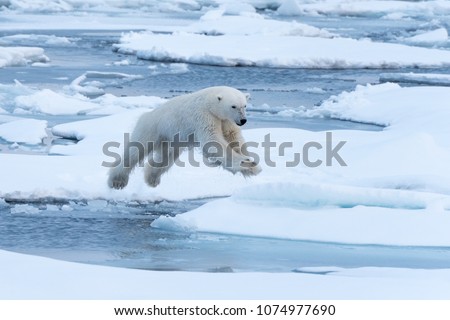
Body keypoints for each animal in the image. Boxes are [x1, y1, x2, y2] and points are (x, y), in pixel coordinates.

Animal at [108, 86, 260, 189]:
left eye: (245, 105)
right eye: (233, 106)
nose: (243, 120)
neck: (209, 103)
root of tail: (146, 115)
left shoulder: (227, 121)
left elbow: (234, 138)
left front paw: (253, 166)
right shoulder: (204, 116)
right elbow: (213, 141)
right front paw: (245, 162)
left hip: (173, 139)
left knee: (165, 158)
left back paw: (152, 179)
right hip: (152, 129)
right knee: (135, 151)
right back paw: (117, 181)